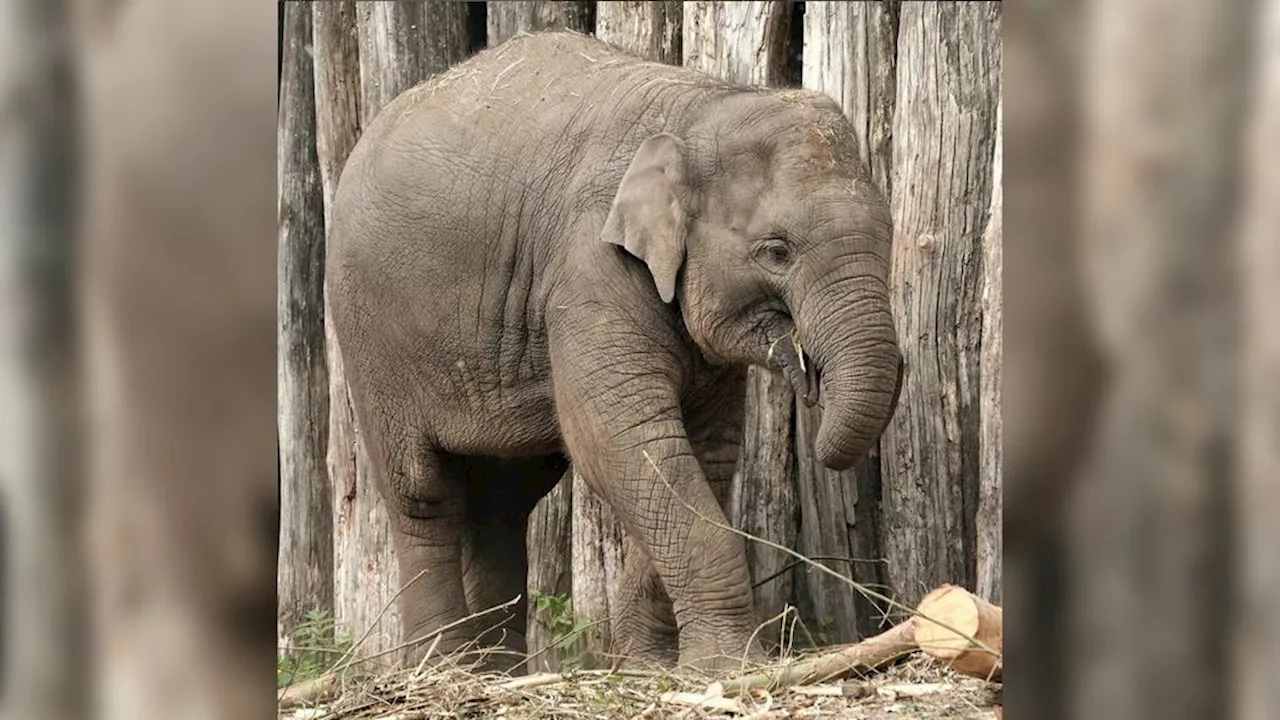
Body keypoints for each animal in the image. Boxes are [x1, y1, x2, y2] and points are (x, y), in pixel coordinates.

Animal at [330, 32, 911, 671]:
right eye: (776, 252)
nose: (808, 379)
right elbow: (618, 438)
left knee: (505, 500)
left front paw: (646, 666)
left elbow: (706, 451)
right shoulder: (589, 266)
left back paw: (500, 669)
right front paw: (724, 667)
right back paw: (447, 665)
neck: (702, 109)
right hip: (370, 334)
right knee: (423, 492)